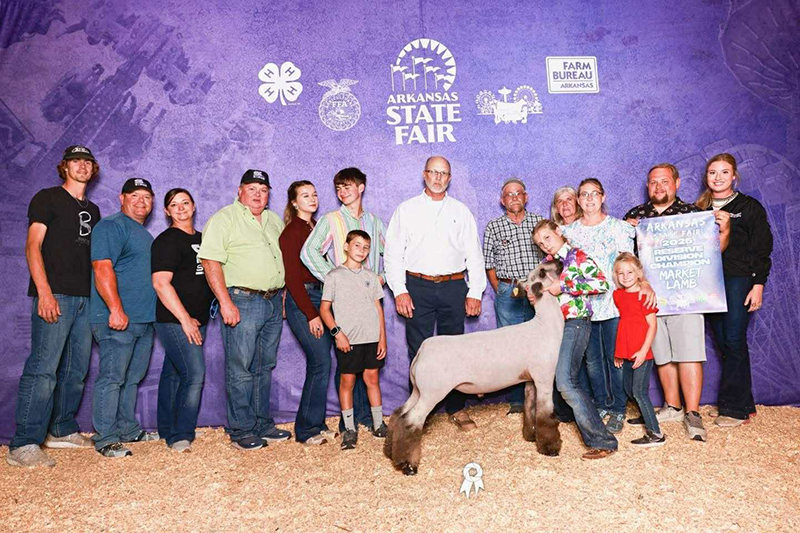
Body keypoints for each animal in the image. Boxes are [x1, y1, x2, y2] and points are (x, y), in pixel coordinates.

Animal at [384, 261, 566, 475]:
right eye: (543, 271)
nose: (559, 262)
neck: (544, 325)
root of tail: (423, 349)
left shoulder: (530, 381)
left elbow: (531, 409)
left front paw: (530, 437)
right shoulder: (545, 378)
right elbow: (546, 415)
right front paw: (550, 448)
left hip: (418, 390)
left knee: (399, 413)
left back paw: (389, 452)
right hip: (432, 393)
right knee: (411, 420)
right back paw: (408, 465)